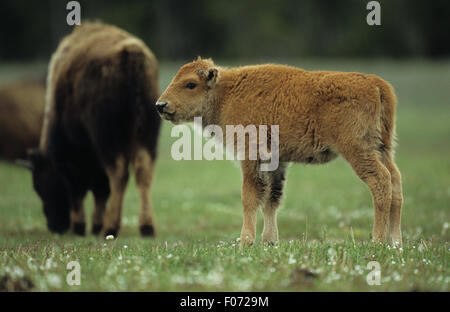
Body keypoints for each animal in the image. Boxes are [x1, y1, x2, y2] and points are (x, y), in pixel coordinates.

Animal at [29, 22, 162, 236]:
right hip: (146, 135)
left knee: (118, 173)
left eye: (39, 185)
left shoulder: (70, 159)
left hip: (107, 139)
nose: (55, 226)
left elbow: (81, 190)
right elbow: (100, 190)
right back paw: (146, 227)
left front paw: (81, 226)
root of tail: (131, 54)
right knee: (143, 170)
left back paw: (110, 227)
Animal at [158, 58, 404, 249]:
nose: (161, 105)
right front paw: (270, 241)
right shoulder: (276, 162)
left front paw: (245, 242)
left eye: (190, 84)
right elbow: (272, 199)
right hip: (383, 148)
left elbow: (250, 197)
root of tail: (376, 83)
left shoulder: (250, 156)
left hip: (357, 150)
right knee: (395, 182)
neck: (226, 93)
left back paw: (377, 241)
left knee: (380, 181)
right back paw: (395, 242)